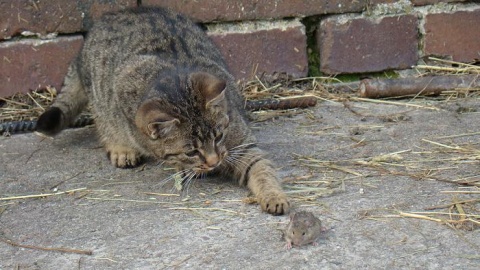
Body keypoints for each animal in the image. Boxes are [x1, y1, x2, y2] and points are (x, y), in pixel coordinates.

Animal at [37, 6, 288, 215]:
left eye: (218, 136)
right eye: (191, 151)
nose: (214, 161)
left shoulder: (244, 146)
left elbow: (262, 170)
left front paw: (274, 196)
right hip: (100, 93)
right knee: (104, 121)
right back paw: (121, 149)